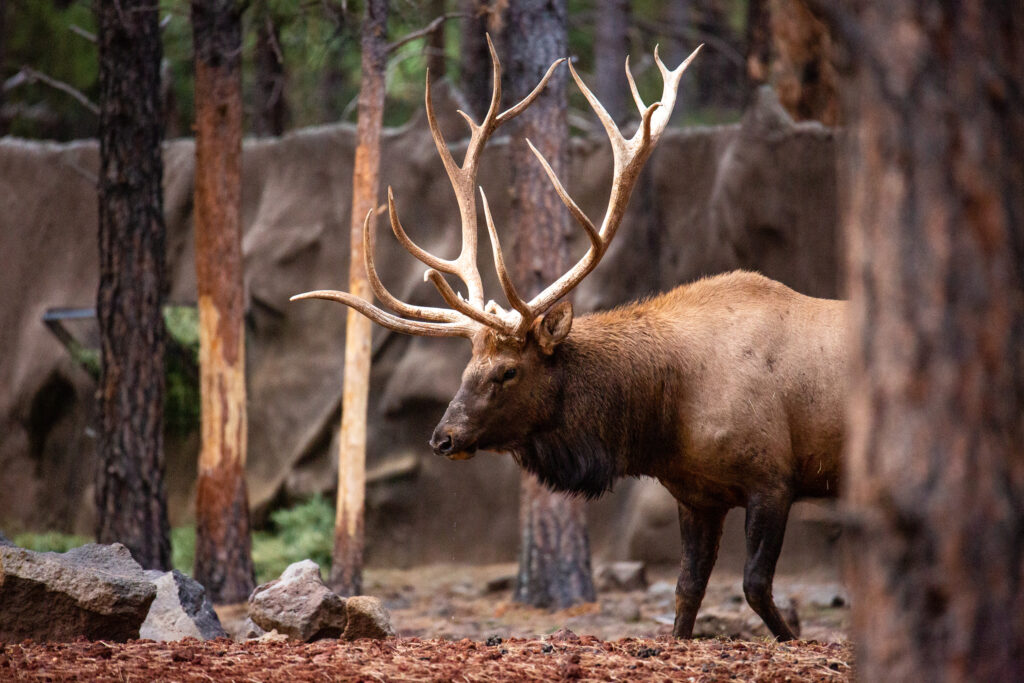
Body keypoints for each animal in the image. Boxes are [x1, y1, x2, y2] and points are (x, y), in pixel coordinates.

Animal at [292, 37, 846, 642]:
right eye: (466, 369)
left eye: (508, 371)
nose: (442, 437)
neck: (664, 415)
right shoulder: (696, 494)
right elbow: (687, 592)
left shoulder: (774, 478)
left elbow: (755, 586)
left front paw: (794, 641)